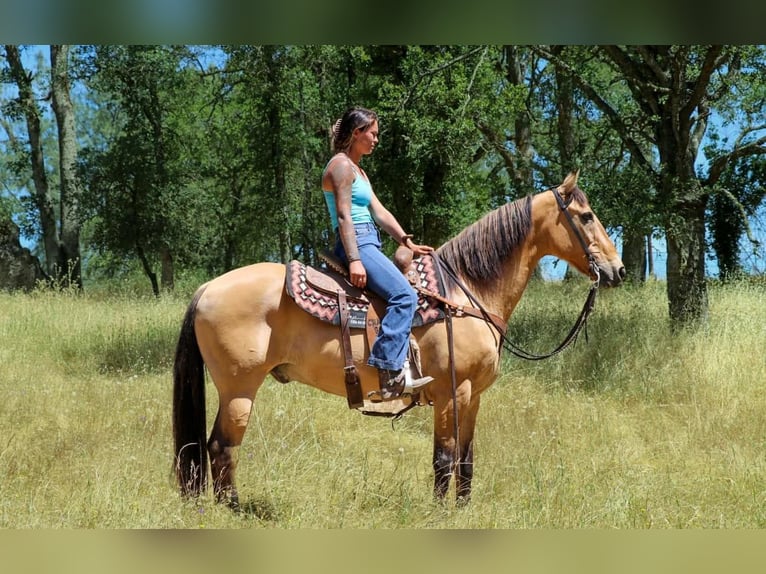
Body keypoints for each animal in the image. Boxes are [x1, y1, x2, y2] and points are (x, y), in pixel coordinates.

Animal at [172, 171, 625, 507]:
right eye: (586, 216)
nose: (618, 269)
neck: (466, 292)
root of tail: (207, 288)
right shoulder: (452, 392)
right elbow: (444, 458)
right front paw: (441, 514)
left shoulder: (474, 396)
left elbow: (466, 460)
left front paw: (463, 509)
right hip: (239, 388)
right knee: (221, 447)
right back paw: (232, 509)